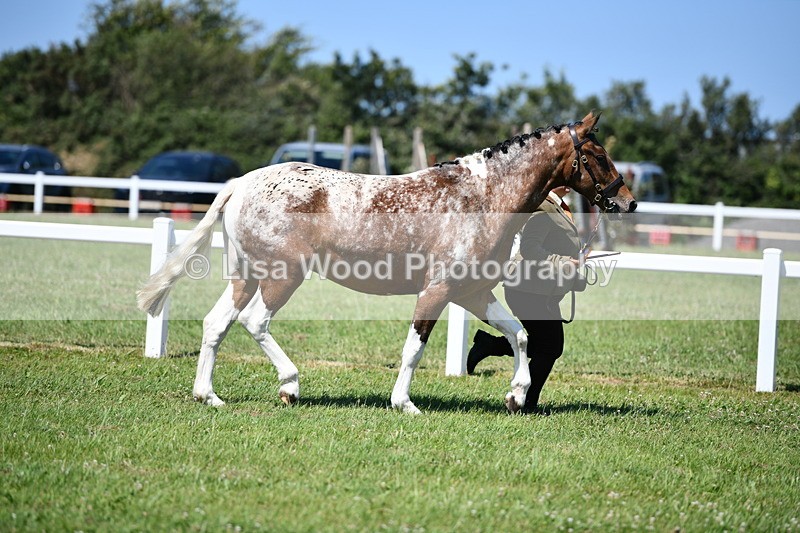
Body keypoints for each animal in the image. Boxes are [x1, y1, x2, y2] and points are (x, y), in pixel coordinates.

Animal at [138, 111, 637, 414]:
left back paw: (208, 395)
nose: (627, 201)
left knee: (216, 323)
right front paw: (404, 403)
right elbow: (414, 348)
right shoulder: (437, 291)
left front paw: (516, 395)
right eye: (596, 155)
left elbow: (520, 335)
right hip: (283, 277)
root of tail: (241, 183)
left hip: (245, 275)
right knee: (255, 322)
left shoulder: (474, 293)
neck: (482, 198)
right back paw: (290, 385)